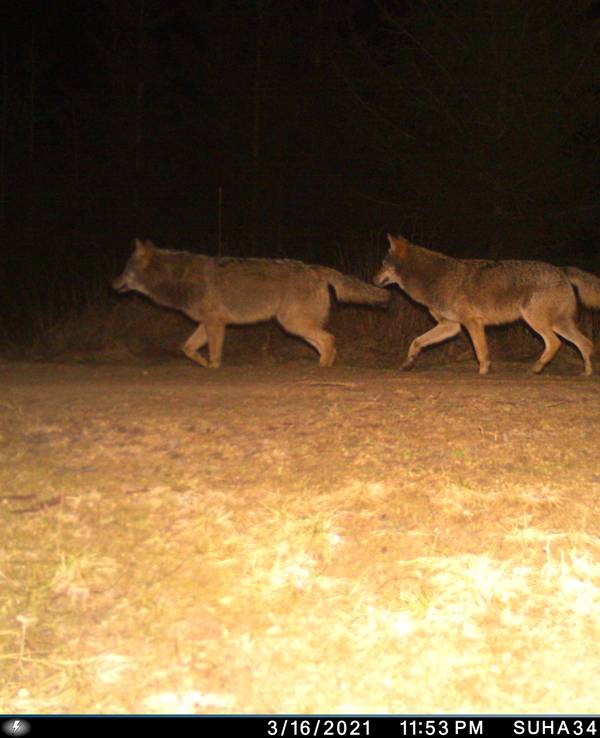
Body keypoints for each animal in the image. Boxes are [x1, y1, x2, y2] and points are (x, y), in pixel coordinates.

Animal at [113, 239, 389, 367]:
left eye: (125, 270)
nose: (112, 283)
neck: (177, 278)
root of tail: (316, 269)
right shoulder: (207, 323)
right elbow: (187, 348)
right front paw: (203, 364)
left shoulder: (215, 324)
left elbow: (214, 353)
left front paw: (213, 367)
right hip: (295, 326)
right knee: (325, 343)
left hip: (292, 324)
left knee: (329, 340)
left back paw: (321, 368)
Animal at [373, 233, 600, 375]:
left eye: (382, 264)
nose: (373, 280)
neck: (432, 279)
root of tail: (561, 269)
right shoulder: (451, 326)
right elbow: (416, 341)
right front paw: (408, 363)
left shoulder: (472, 323)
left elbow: (481, 352)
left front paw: (483, 372)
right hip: (559, 324)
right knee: (586, 344)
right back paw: (586, 373)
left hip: (536, 322)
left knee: (555, 343)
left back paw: (537, 368)